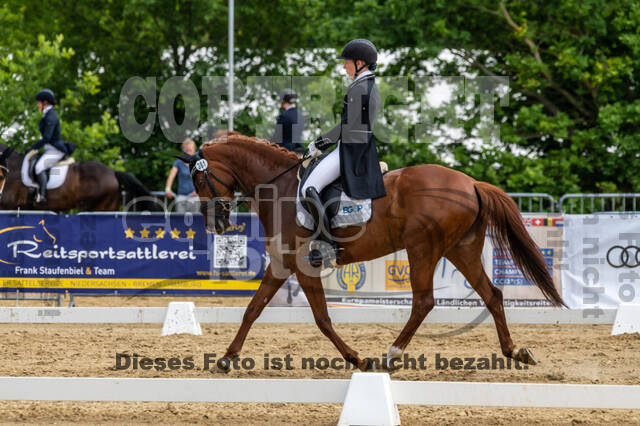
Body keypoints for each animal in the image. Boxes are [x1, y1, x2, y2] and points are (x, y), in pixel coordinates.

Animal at [181, 132, 565, 372]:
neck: (283, 188)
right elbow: (252, 309)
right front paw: (227, 358)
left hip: (423, 247)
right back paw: (515, 351)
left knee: (424, 302)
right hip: (462, 249)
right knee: (492, 295)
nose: (215, 223)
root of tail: (470, 182)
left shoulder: (304, 266)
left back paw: (391, 356)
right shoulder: (281, 264)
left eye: (199, 180)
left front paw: (358, 359)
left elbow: (322, 319)